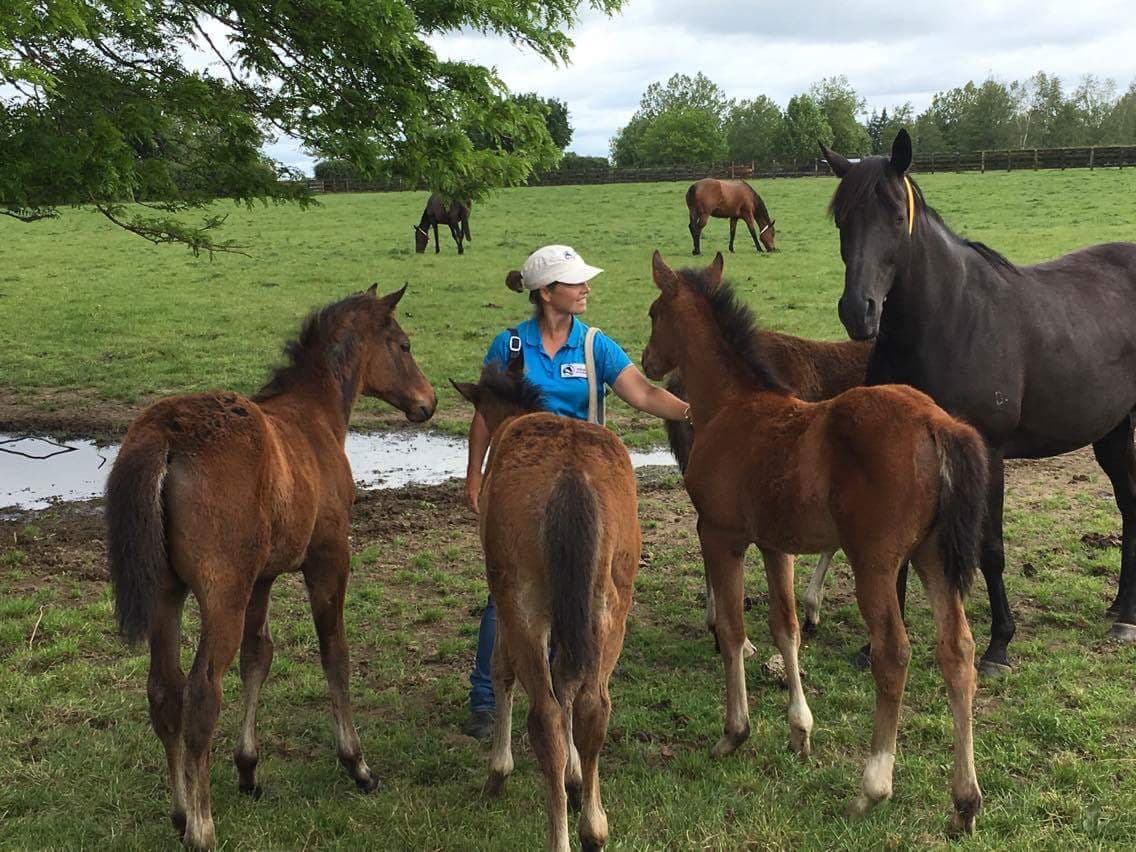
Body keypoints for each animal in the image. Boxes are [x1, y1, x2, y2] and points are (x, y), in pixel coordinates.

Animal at [105, 285, 436, 851]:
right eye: (404, 345)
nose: (427, 402)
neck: (314, 418)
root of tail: (166, 434)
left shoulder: (261, 577)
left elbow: (258, 655)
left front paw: (248, 769)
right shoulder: (328, 559)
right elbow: (335, 654)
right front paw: (357, 764)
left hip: (168, 592)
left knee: (164, 692)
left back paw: (180, 814)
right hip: (222, 595)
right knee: (200, 695)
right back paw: (202, 827)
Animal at [452, 359, 640, 852]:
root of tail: (570, 478)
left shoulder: (507, 602)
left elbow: (501, 669)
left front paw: (498, 772)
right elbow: (568, 679)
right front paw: (576, 778)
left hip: (523, 604)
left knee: (545, 717)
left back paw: (561, 833)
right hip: (610, 609)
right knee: (593, 705)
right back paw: (594, 827)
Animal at [823, 129, 1136, 673]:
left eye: (894, 215)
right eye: (842, 218)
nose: (857, 312)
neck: (950, 318)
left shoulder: (988, 451)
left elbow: (990, 549)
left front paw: (998, 646)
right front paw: (876, 646)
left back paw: (1128, 616)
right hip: (1112, 432)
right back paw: (1120, 609)